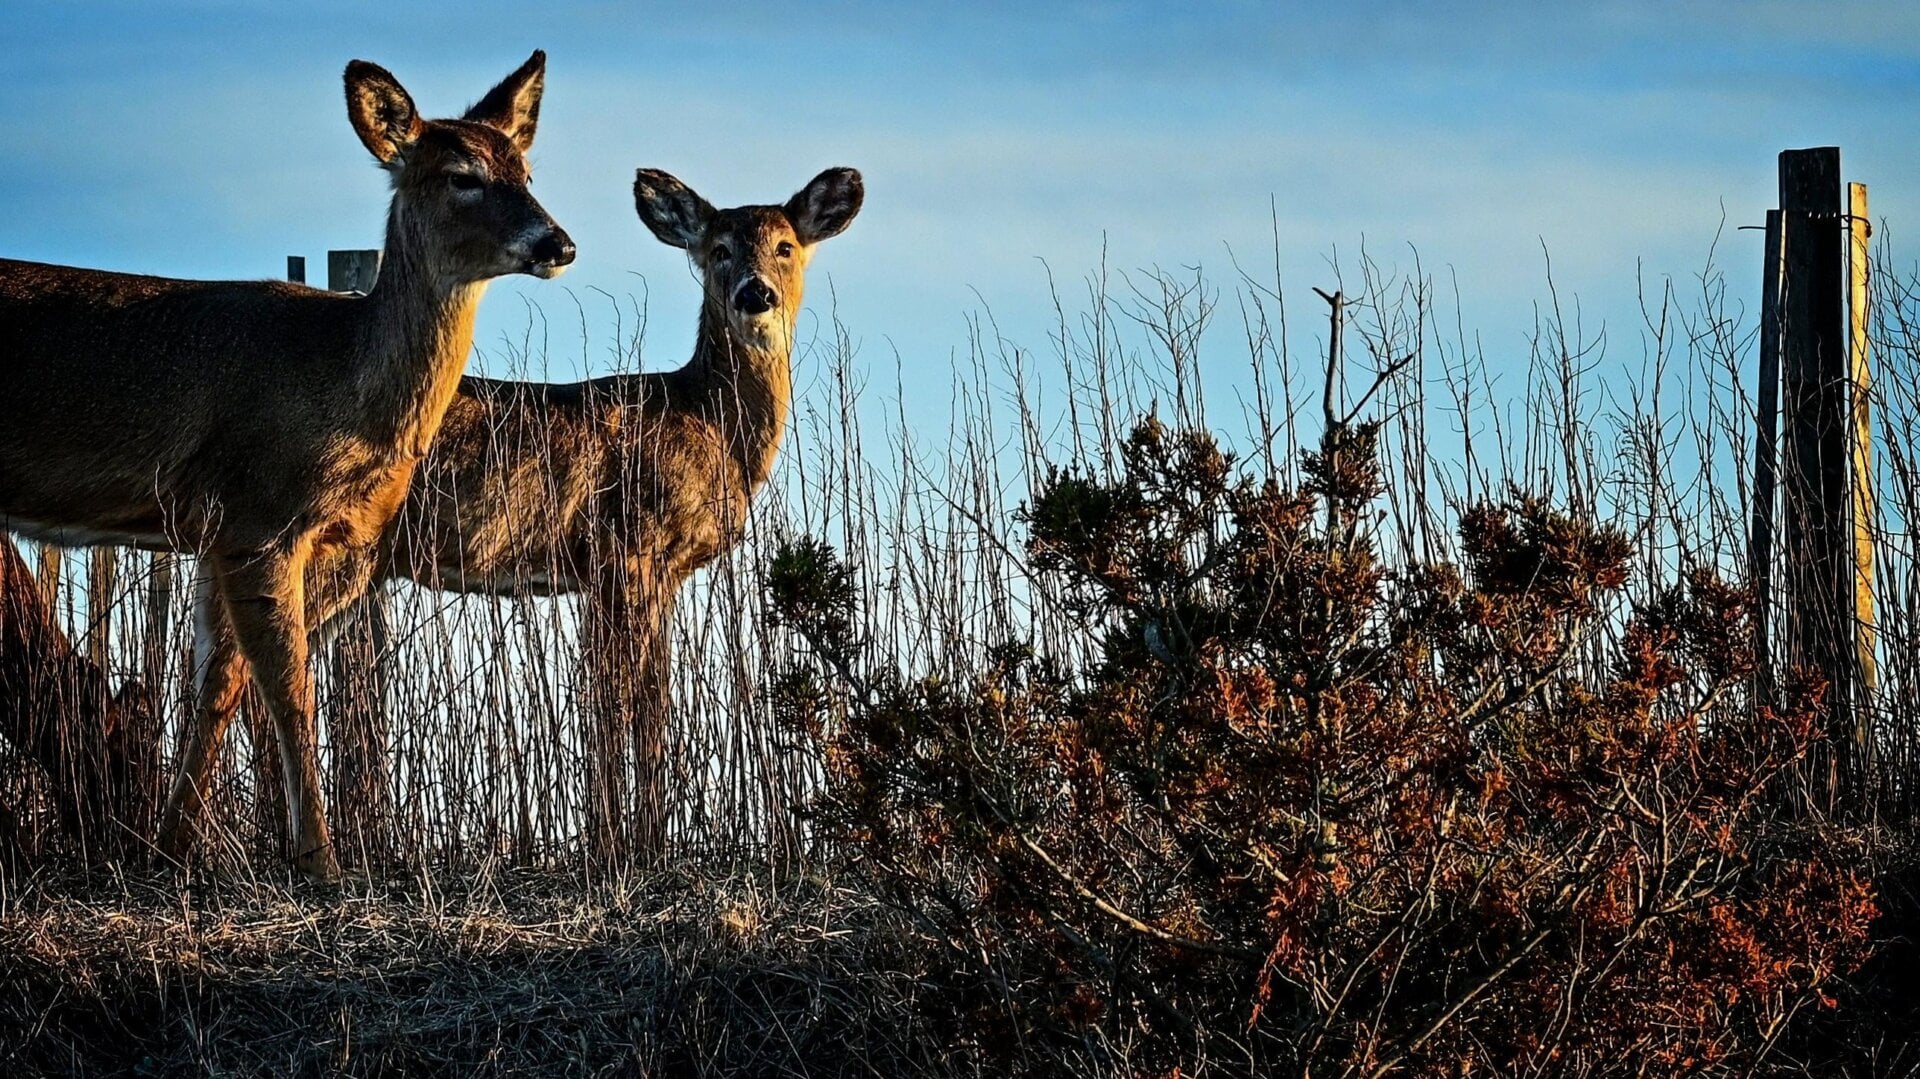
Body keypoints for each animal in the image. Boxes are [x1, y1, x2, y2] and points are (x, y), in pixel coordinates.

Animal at [0, 52, 575, 882]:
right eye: (461, 175)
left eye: (525, 170)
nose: (556, 242)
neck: (339, 377)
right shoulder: (259, 512)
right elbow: (289, 687)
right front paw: (321, 860)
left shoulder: (220, 534)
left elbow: (216, 686)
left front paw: (170, 849)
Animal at [175, 166, 864, 863]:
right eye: (718, 249)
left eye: (785, 246)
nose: (756, 294)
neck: (708, 424)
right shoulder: (626, 546)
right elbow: (623, 701)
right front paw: (627, 847)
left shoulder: (651, 572)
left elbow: (641, 699)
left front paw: (634, 840)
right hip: (306, 547)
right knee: (235, 668)